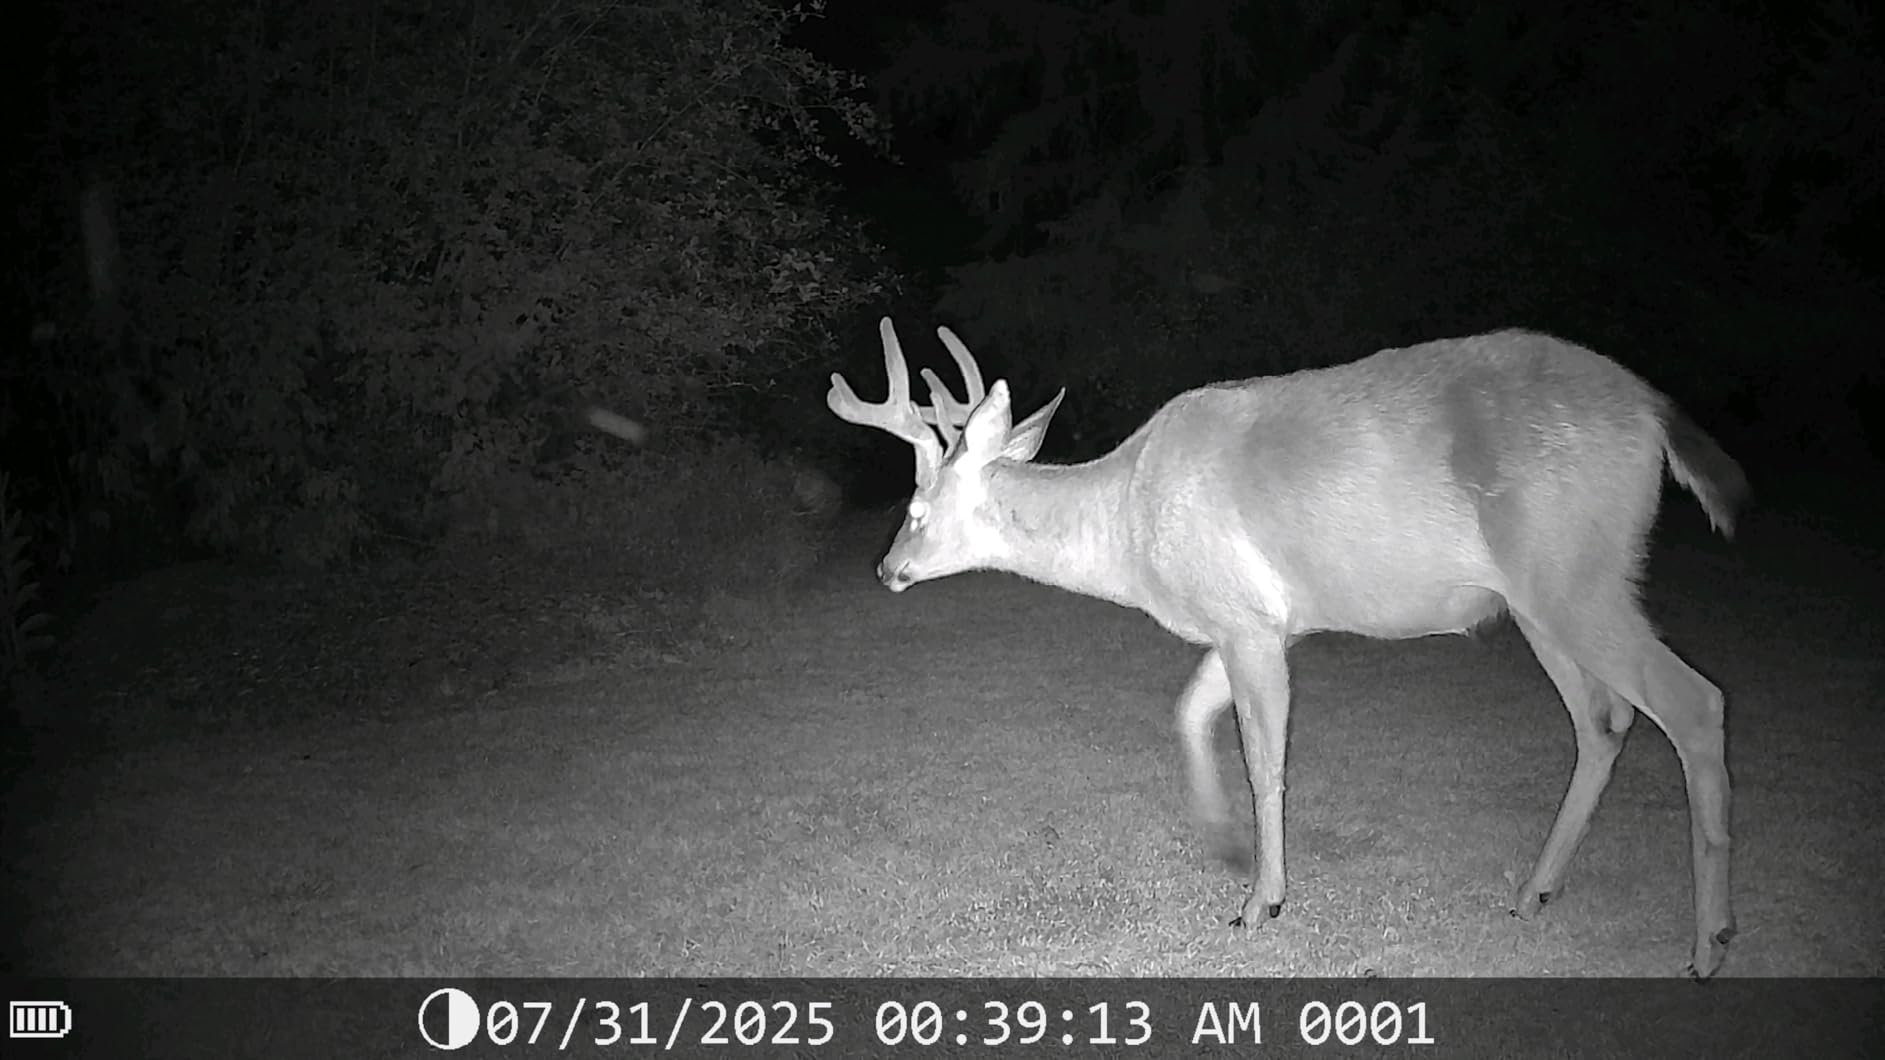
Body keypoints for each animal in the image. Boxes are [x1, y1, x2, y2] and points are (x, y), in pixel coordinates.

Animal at [828, 317, 1746, 978]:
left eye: (915, 509)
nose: (884, 569)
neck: (1129, 524)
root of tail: (1653, 412)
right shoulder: (1252, 621)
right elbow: (1186, 712)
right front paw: (1224, 845)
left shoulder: (1245, 624)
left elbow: (1264, 761)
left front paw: (1259, 901)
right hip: (1539, 603)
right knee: (1605, 719)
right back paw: (1533, 892)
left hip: (1572, 572)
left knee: (1694, 702)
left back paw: (1708, 943)